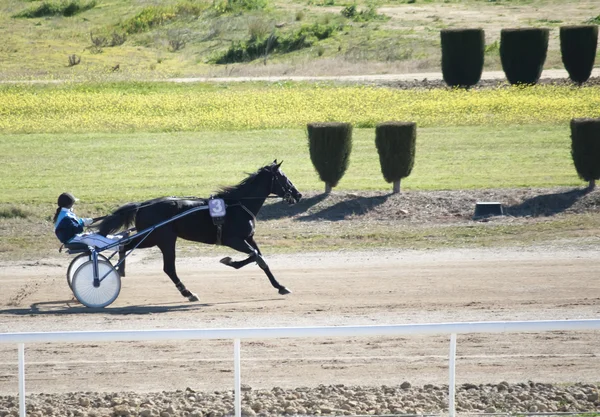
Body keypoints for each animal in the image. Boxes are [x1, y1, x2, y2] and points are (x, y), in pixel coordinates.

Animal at [101, 161, 304, 300]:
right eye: (284, 178)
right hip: (164, 239)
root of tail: (143, 205)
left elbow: (259, 258)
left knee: (125, 246)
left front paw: (280, 286)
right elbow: (257, 257)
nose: (298, 194)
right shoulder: (233, 240)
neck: (237, 205)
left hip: (151, 238)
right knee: (168, 268)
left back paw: (120, 270)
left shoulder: (248, 238)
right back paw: (188, 293)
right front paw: (230, 261)